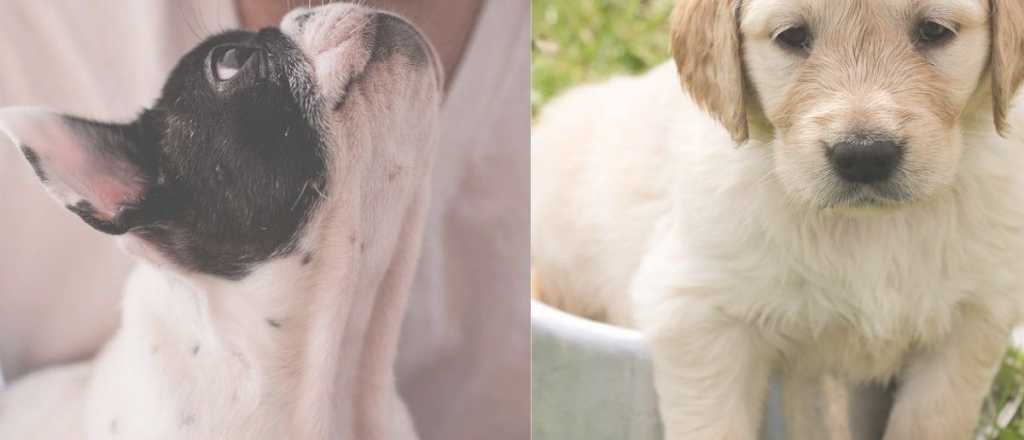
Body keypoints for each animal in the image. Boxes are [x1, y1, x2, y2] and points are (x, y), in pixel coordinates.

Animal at [532, 0, 1024, 440]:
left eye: (934, 30)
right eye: (791, 36)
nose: (864, 156)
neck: (866, 227)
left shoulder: (972, 319)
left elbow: (933, 420)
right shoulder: (697, 314)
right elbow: (715, 426)